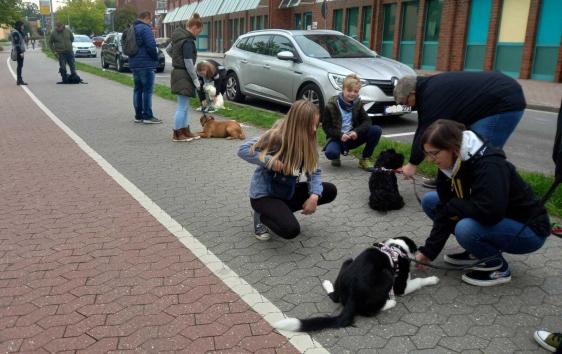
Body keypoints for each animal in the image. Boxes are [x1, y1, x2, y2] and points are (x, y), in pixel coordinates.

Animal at [272, 238, 438, 332]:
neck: (396, 249)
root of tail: (352, 295)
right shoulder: (401, 286)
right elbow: (418, 281)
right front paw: (433, 279)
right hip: (387, 275)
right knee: (369, 311)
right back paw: (390, 303)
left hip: (348, 261)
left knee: (335, 296)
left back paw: (328, 284)